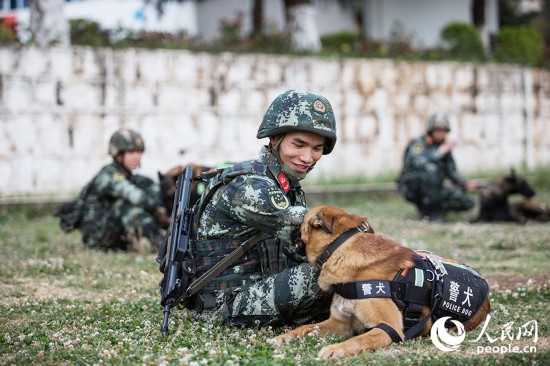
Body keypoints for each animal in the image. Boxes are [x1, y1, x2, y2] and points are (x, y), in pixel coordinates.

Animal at [274, 207, 494, 358]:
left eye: (299, 224)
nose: (283, 228)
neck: (340, 248)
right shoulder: (341, 323)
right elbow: (306, 328)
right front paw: (286, 336)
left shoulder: (389, 328)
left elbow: (358, 339)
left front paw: (335, 349)